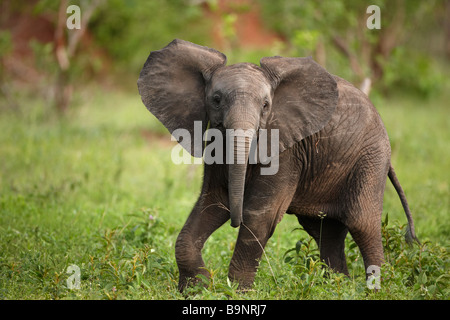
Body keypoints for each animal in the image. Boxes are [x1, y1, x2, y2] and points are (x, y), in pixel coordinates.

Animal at [137, 38, 418, 292]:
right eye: (216, 99)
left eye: (265, 106)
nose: (234, 221)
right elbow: (213, 202)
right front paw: (197, 288)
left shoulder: (289, 149)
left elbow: (260, 215)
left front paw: (235, 292)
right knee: (325, 231)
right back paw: (337, 287)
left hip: (371, 157)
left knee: (362, 223)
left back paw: (376, 289)